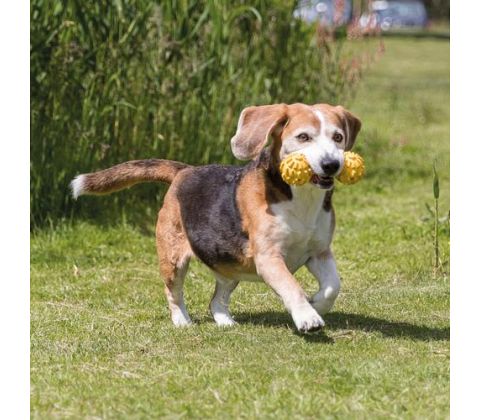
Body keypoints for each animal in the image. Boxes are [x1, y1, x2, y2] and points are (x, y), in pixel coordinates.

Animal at [71, 103, 360, 334]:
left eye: (338, 137)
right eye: (303, 137)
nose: (332, 164)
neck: (300, 197)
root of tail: (184, 171)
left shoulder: (319, 252)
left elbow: (333, 285)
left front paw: (317, 303)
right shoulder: (269, 258)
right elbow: (292, 286)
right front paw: (307, 316)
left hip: (229, 265)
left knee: (216, 299)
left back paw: (224, 321)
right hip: (173, 260)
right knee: (173, 293)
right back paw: (182, 321)